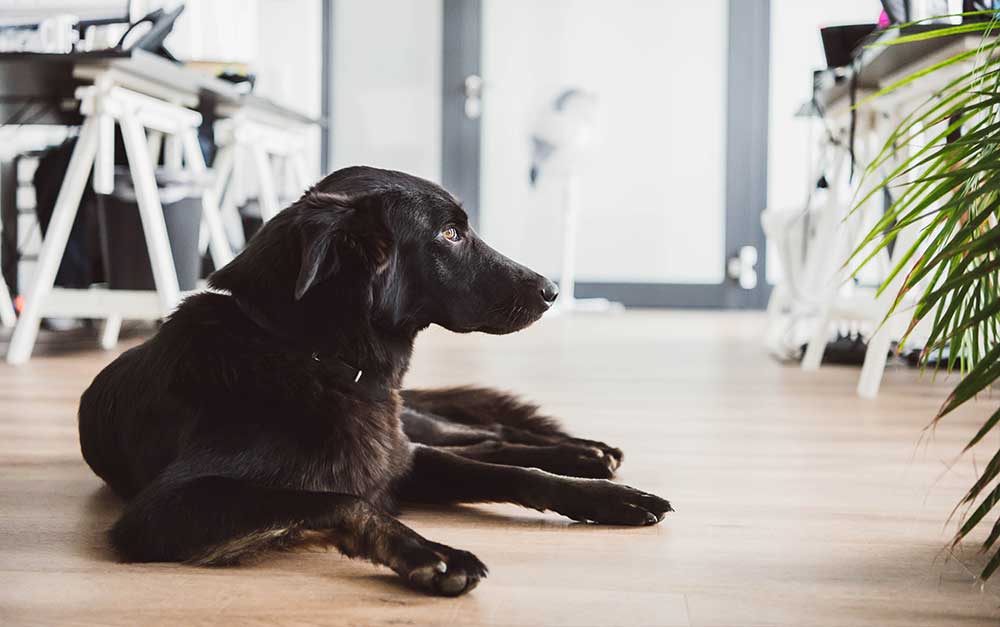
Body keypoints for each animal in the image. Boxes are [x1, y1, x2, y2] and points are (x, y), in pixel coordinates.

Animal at [80, 167, 672, 600]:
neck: (313, 354)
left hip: (415, 429)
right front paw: (433, 555)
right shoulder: (164, 510)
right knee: (481, 437)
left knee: (485, 435)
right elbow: (339, 498)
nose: (552, 290)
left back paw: (587, 453)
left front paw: (606, 497)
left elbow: (514, 473)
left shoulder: (403, 460)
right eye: (450, 234)